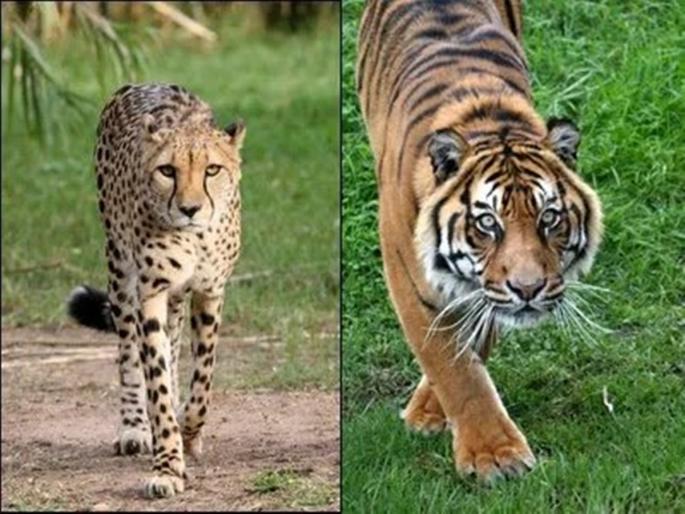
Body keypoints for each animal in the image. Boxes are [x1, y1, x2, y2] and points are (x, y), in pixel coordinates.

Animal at [67, 83, 245, 498]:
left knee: (175, 344)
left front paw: (189, 432)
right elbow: (156, 381)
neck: (196, 237)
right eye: (167, 171)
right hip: (120, 271)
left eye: (212, 169)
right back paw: (134, 426)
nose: (189, 209)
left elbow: (202, 379)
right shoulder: (151, 293)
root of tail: (142, 85)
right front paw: (167, 466)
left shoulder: (209, 290)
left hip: (175, 296)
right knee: (130, 352)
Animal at [356, 0, 603, 482]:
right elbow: (455, 367)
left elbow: (475, 340)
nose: (529, 289)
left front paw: (432, 412)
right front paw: (496, 455)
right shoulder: (411, 280)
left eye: (549, 218)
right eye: (487, 223)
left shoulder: (485, 291)